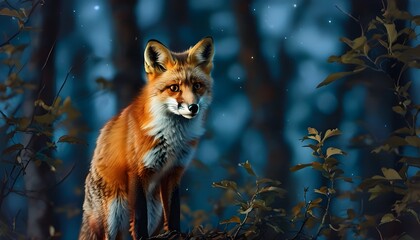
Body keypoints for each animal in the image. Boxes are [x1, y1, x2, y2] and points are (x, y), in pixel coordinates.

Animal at [79, 36, 215, 239]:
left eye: (197, 86)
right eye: (174, 88)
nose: (193, 107)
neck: (172, 138)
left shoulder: (174, 171)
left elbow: (174, 211)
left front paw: (176, 233)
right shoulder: (138, 171)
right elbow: (139, 217)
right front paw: (143, 237)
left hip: (154, 209)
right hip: (113, 213)